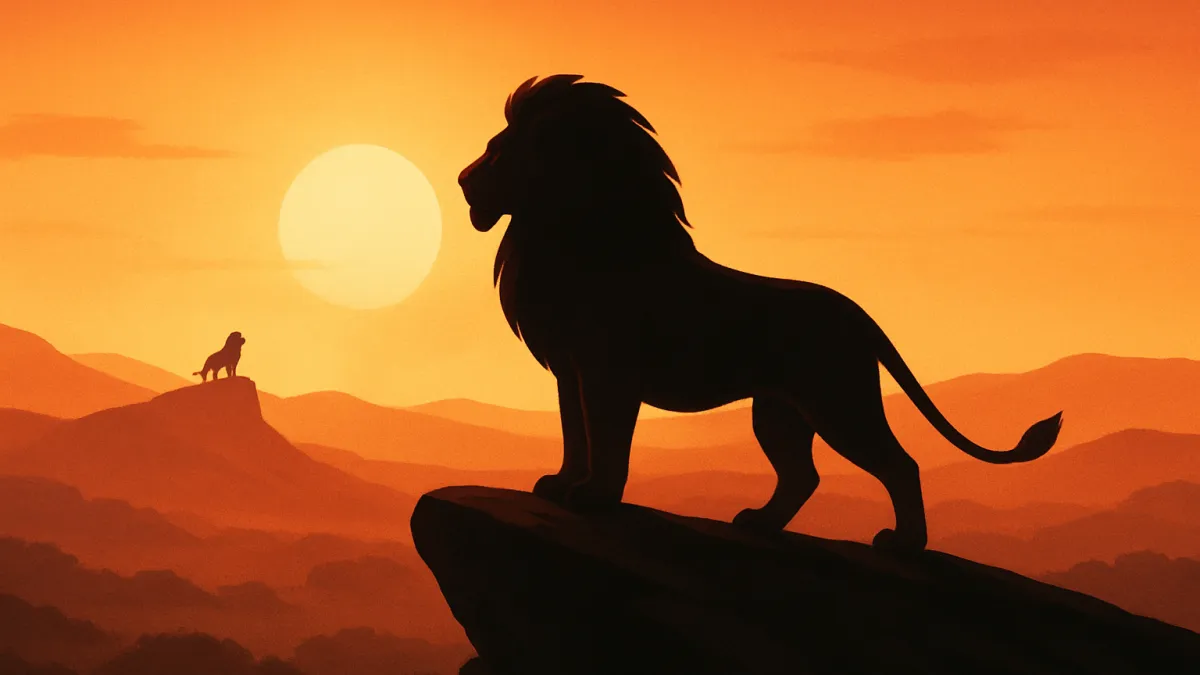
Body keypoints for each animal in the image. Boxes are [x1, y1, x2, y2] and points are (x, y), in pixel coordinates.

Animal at [457, 74, 1063, 553]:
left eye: (498, 149)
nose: (462, 181)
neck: (570, 234)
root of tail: (859, 314)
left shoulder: (608, 373)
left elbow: (604, 437)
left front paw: (594, 497)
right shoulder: (571, 371)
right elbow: (574, 434)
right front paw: (561, 485)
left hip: (838, 402)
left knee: (898, 463)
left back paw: (904, 543)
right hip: (778, 411)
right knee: (802, 475)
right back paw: (760, 523)